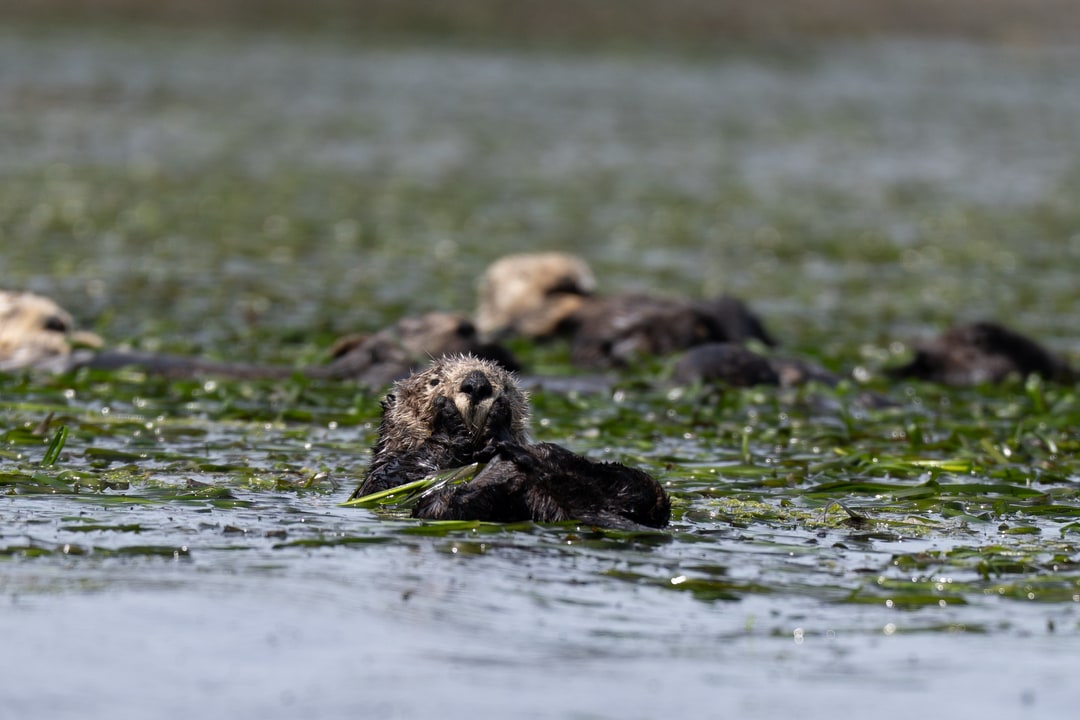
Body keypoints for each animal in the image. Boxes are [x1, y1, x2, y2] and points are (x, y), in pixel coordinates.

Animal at [350, 355, 671, 529]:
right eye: (434, 381)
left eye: (503, 383)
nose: (477, 383)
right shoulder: (381, 477)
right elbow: (388, 479)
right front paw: (448, 417)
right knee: (442, 504)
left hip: (635, 489)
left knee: (645, 490)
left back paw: (518, 447)